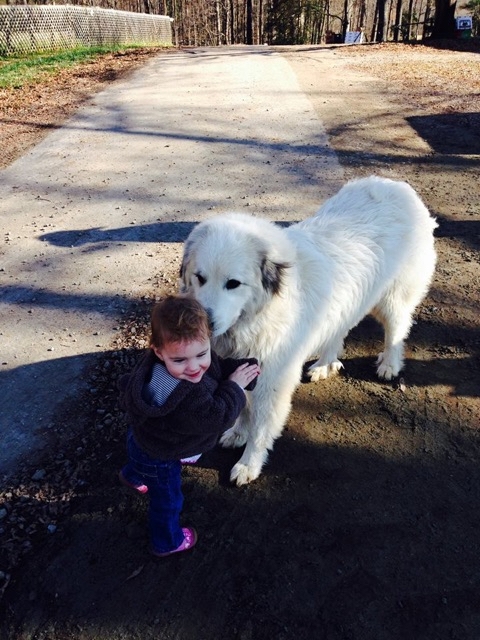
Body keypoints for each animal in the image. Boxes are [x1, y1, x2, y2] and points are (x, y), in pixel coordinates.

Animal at [179, 175, 436, 484]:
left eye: (233, 283)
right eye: (200, 277)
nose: (204, 324)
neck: (261, 312)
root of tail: (394, 184)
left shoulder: (273, 381)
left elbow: (260, 428)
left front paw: (248, 465)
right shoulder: (245, 367)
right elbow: (243, 406)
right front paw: (238, 433)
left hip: (392, 300)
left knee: (397, 330)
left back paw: (390, 364)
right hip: (346, 302)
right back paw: (325, 364)